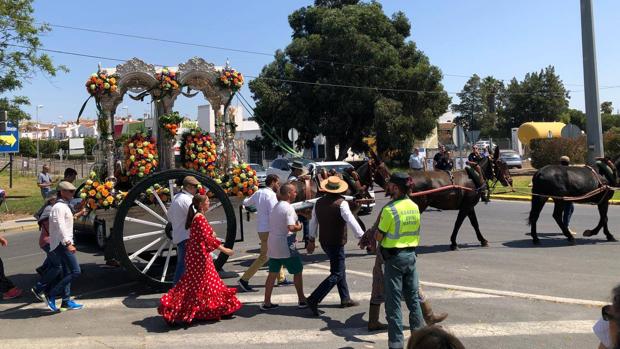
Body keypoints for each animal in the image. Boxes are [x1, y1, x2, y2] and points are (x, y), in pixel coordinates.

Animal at [370, 148, 512, 249]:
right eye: (502, 164)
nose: (510, 180)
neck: (475, 176)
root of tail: (408, 179)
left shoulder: (469, 206)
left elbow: (475, 224)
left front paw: (482, 240)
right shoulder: (466, 207)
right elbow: (458, 223)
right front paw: (454, 242)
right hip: (418, 206)